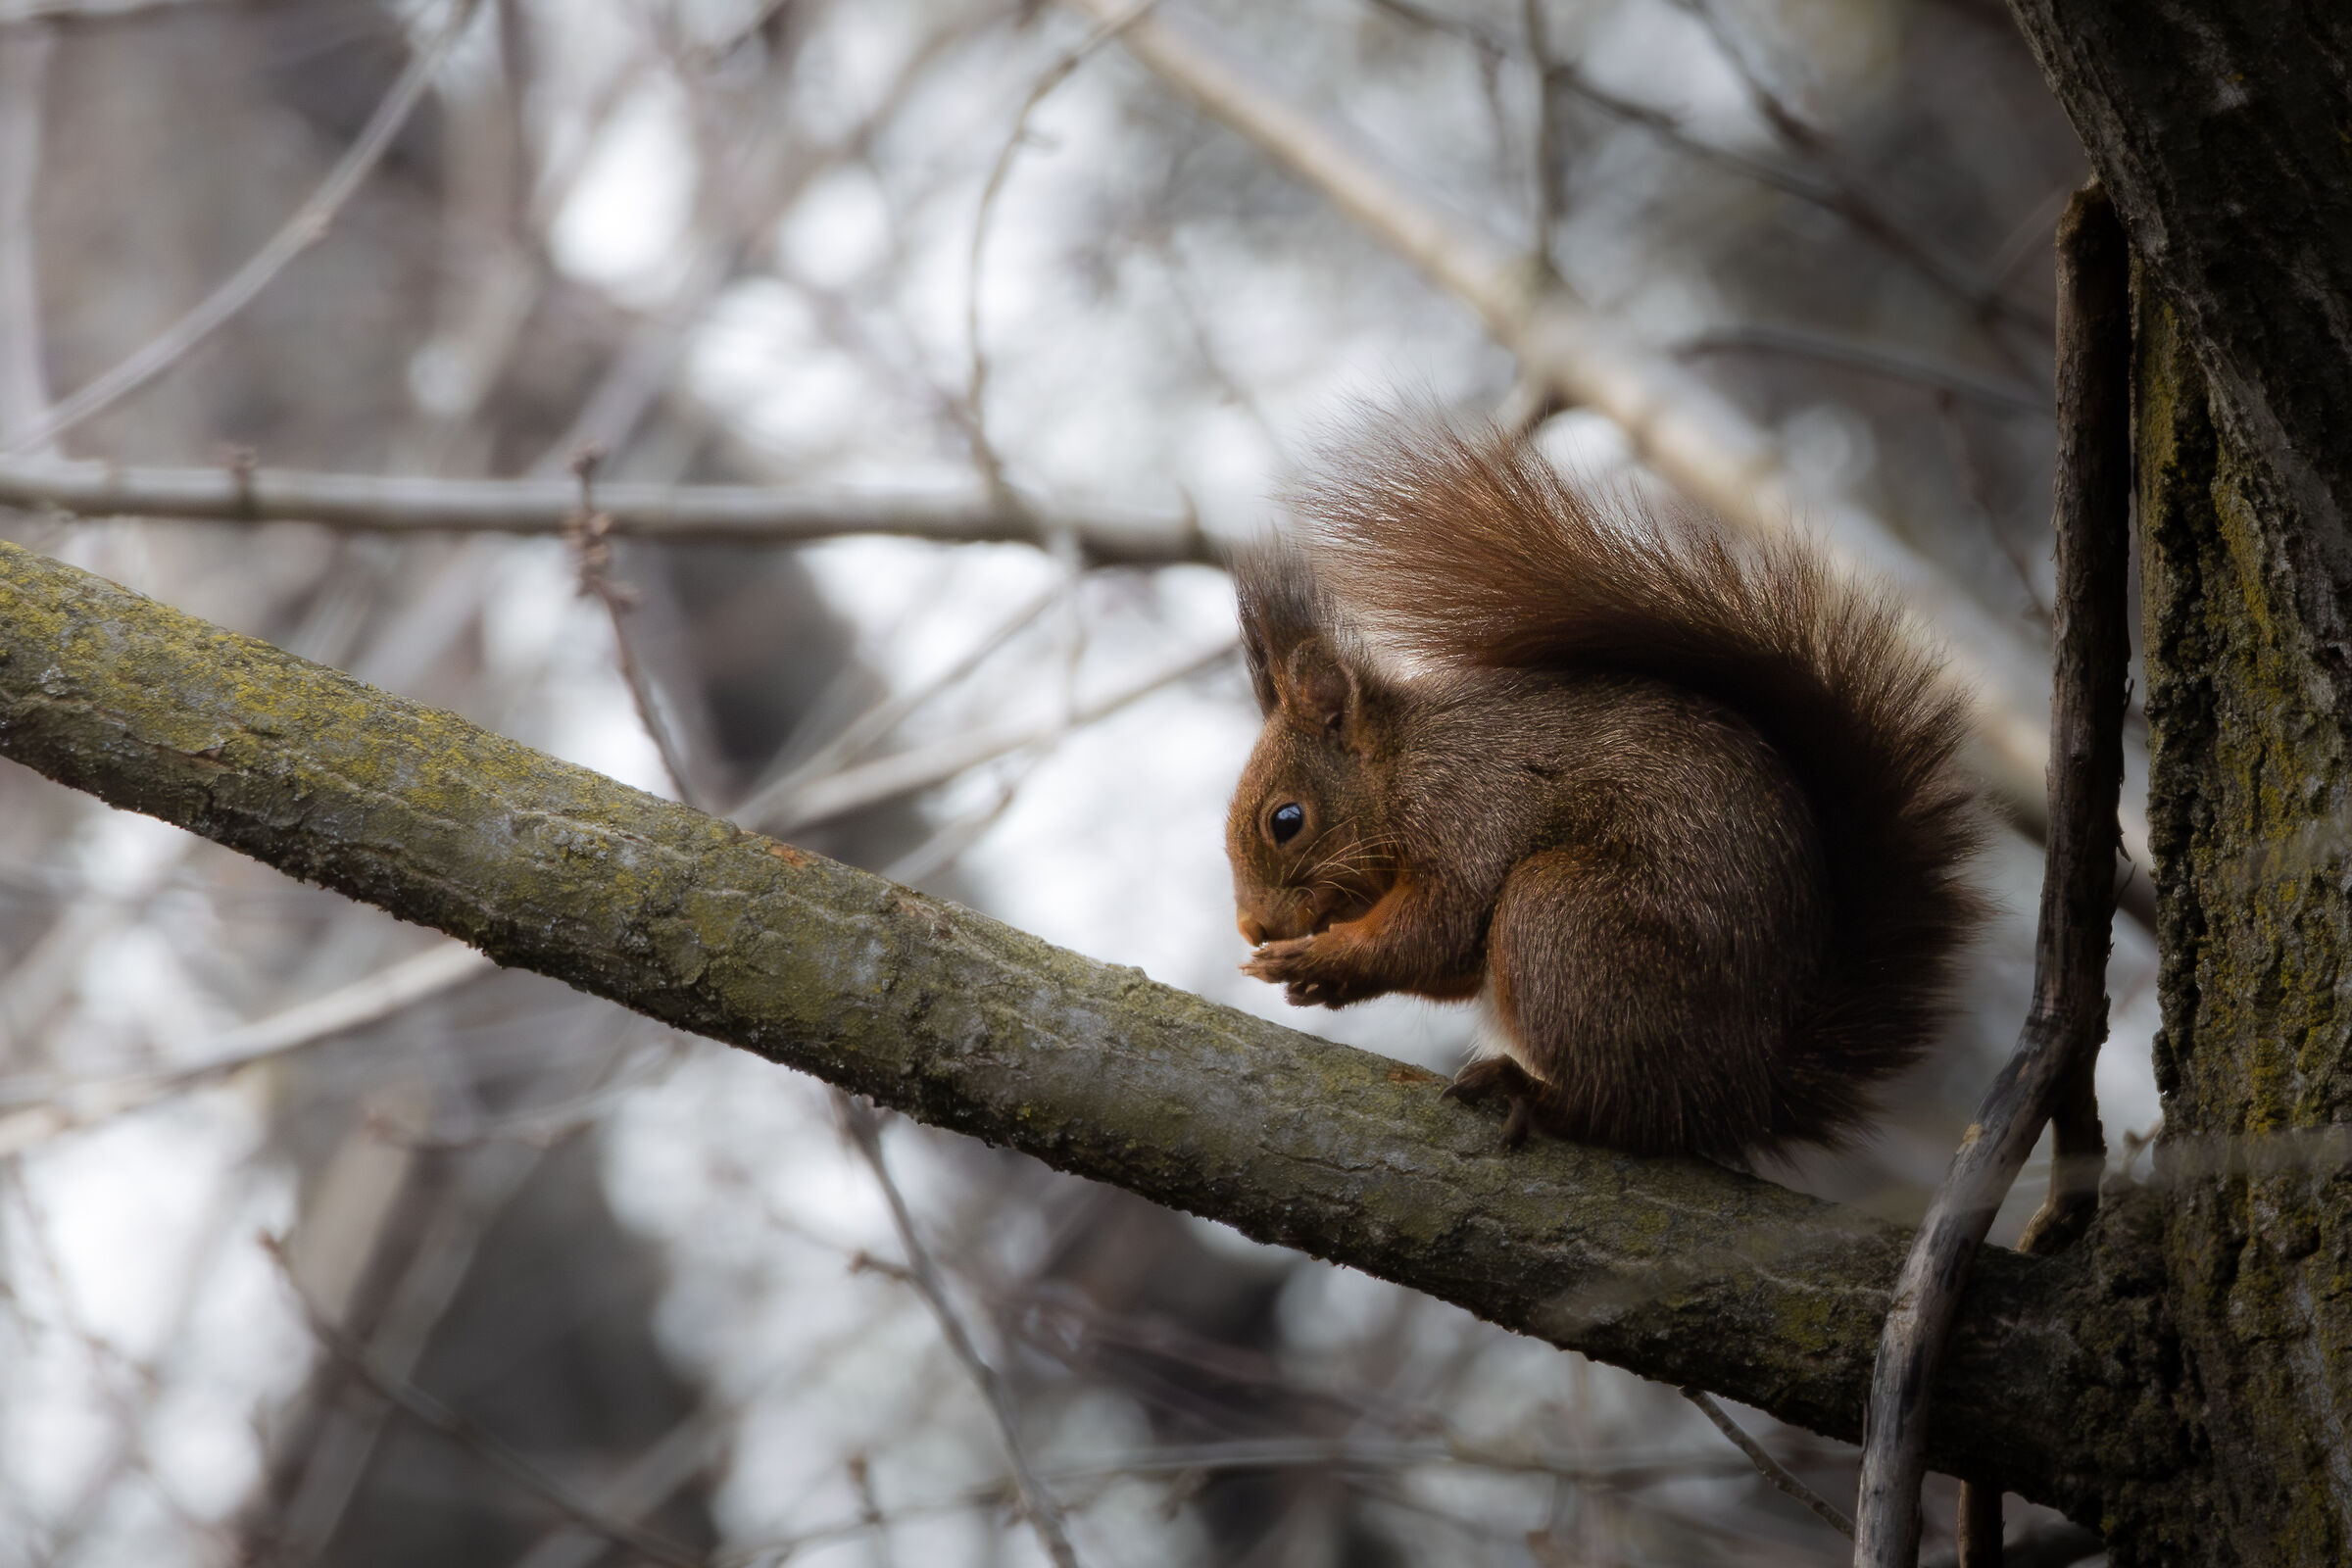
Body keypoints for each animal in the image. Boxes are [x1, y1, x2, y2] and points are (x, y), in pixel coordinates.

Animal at [1225, 426, 1986, 1160]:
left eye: (1285, 819)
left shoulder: (1468, 804)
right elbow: (1450, 964)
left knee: (1627, 1106)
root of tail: (1750, 1089)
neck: (1400, 765)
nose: (1253, 927)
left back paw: (1531, 1093)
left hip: (1563, 921)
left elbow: (1440, 925)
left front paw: (1316, 958)